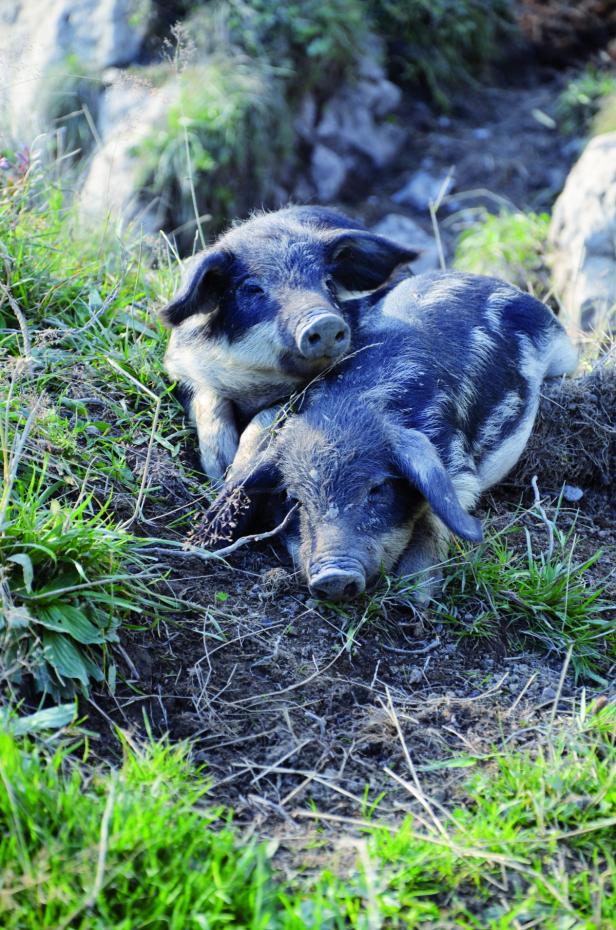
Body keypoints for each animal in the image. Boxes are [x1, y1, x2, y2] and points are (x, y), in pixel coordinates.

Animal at [159, 204, 418, 478]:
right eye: (253, 288)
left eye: (327, 283)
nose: (325, 321)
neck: (253, 384)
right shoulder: (180, 368)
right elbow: (210, 401)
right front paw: (218, 471)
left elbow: (264, 419)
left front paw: (237, 472)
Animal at [211, 268, 576, 600]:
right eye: (293, 499)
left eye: (377, 488)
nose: (333, 576)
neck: (348, 407)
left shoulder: (453, 461)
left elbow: (439, 512)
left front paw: (411, 596)